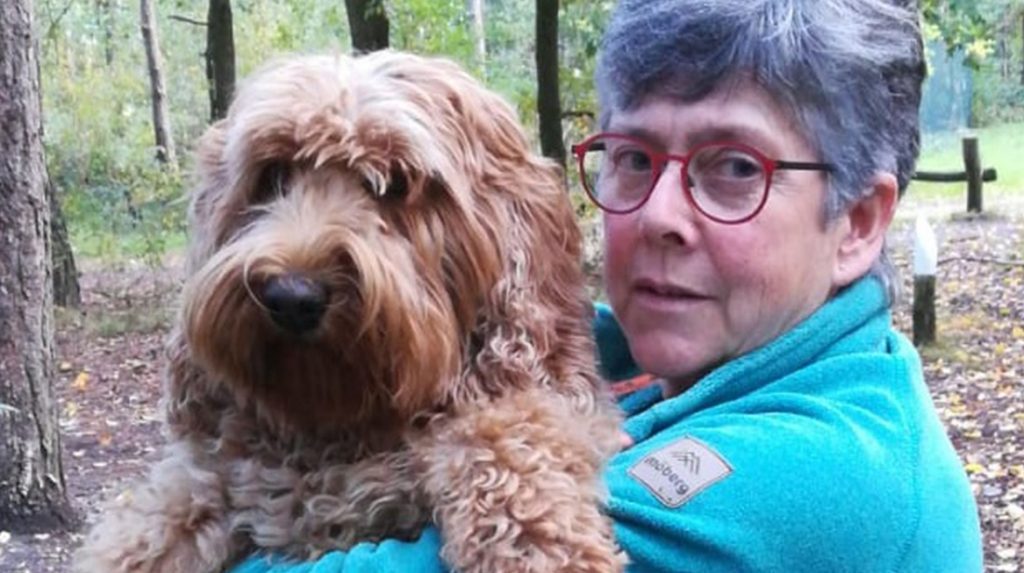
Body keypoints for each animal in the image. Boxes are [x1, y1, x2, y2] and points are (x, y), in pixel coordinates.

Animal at [74, 51, 622, 573]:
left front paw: (541, 546)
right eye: (272, 176)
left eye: (395, 184)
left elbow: (508, 431)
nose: (292, 297)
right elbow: (156, 517)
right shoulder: (213, 476)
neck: (342, 427)